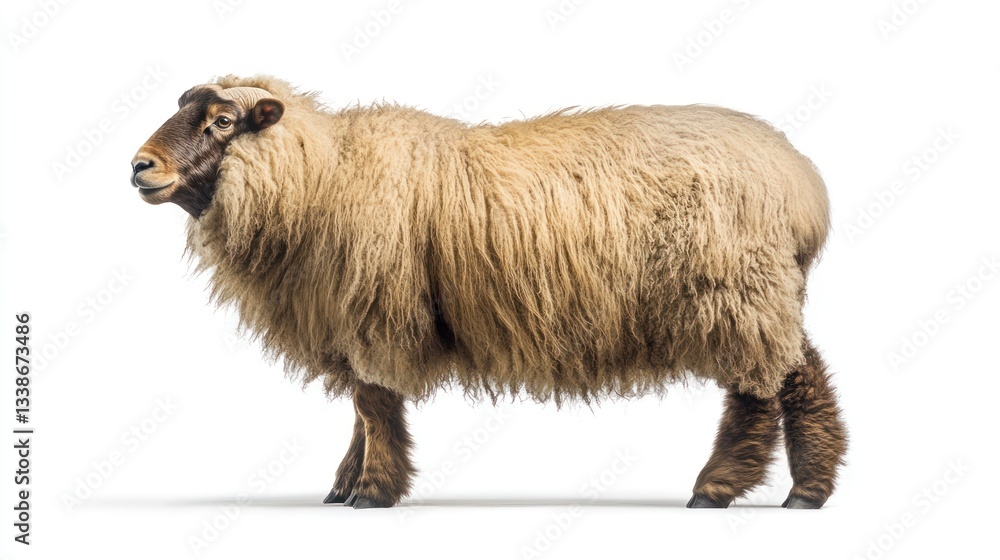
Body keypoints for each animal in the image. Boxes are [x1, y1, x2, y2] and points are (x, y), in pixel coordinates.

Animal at [130, 75, 847, 510]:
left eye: (223, 121)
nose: (139, 166)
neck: (322, 178)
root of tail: (803, 183)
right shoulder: (348, 317)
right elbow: (364, 407)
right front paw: (345, 485)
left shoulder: (376, 311)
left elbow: (376, 404)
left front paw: (372, 491)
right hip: (758, 291)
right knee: (799, 374)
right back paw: (809, 488)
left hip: (733, 289)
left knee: (760, 392)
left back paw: (720, 486)